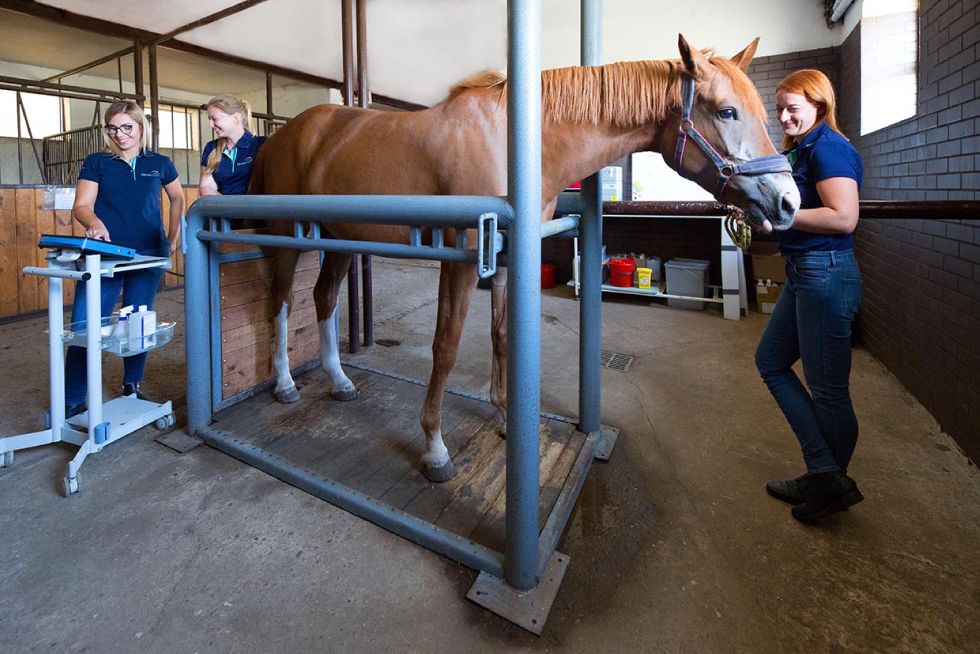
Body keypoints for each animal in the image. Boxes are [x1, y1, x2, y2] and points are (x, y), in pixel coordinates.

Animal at [249, 37, 800, 482]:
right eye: (727, 112)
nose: (788, 202)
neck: (516, 145)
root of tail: (284, 135)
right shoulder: (462, 262)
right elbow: (446, 347)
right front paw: (434, 447)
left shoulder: (509, 258)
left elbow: (500, 336)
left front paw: (503, 417)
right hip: (287, 240)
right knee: (279, 302)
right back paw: (284, 384)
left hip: (338, 240)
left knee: (323, 299)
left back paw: (340, 382)